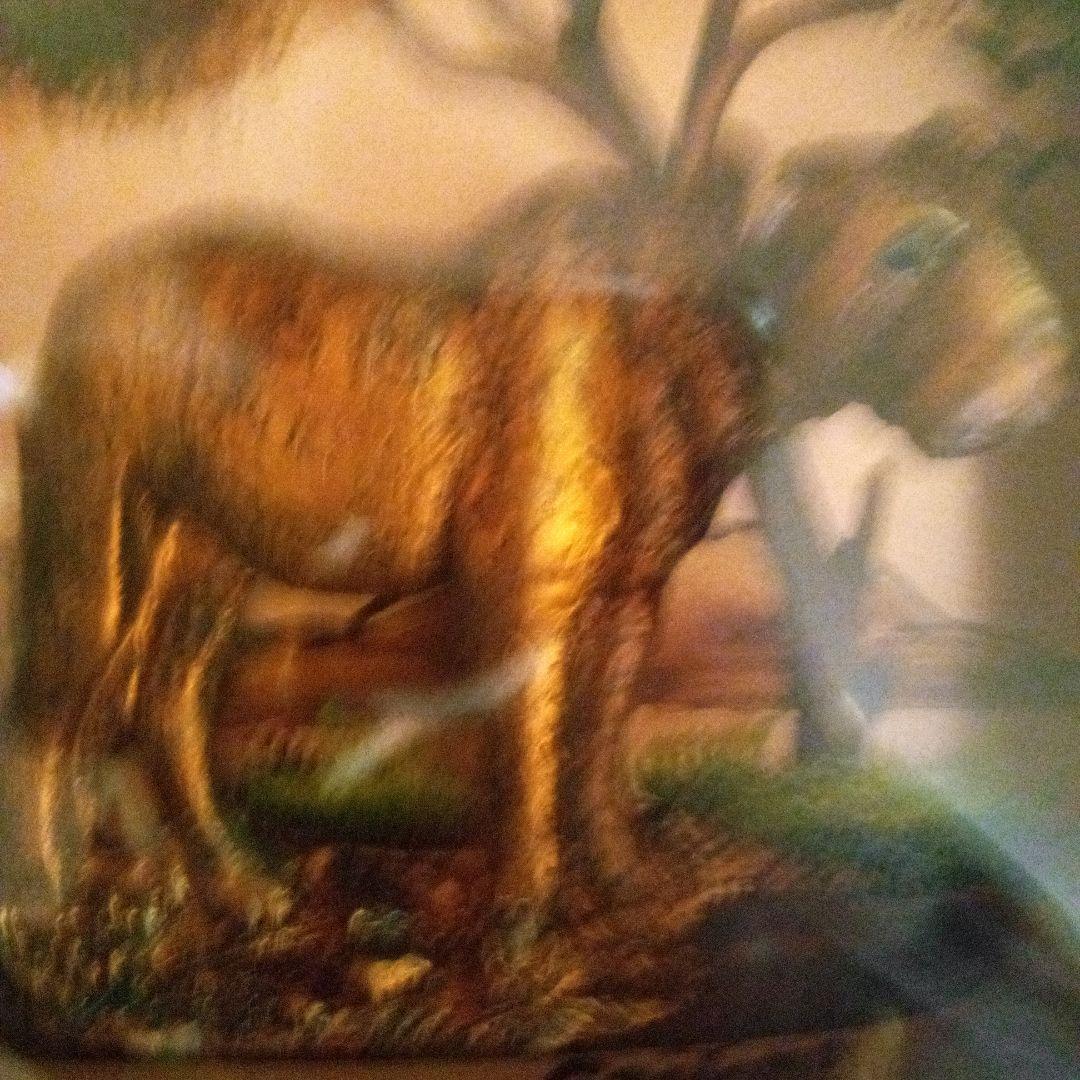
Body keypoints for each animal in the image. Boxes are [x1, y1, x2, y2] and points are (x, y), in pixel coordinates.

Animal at [9, 0, 1073, 933]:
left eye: (1011, 222)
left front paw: (624, 877)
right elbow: (524, 753)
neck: (702, 355)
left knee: (164, 701)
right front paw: (523, 911)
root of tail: (77, 297)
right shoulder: (523, 584)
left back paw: (229, 887)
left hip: (208, 546)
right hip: (98, 524)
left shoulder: (630, 590)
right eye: (910, 246)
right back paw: (48, 903)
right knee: (54, 692)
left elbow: (595, 748)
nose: (1043, 365)